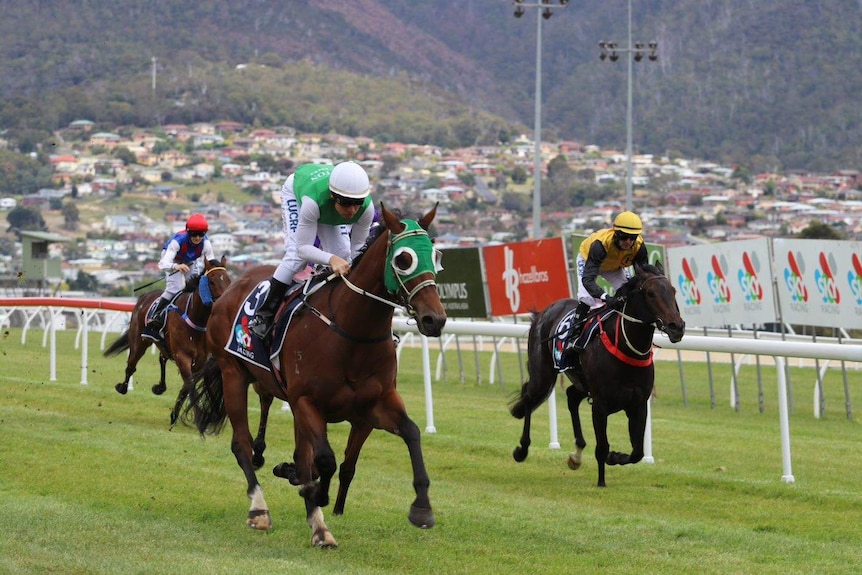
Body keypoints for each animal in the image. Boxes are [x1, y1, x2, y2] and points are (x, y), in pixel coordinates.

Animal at [104, 254, 233, 426]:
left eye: (228, 280)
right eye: (211, 281)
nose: (225, 304)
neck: (195, 318)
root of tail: (144, 296)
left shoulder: (200, 360)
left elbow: (186, 386)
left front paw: (175, 415)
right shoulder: (182, 356)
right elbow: (190, 385)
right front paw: (198, 416)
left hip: (163, 344)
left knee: (162, 359)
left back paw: (160, 387)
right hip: (139, 341)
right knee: (131, 365)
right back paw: (123, 387)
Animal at [185, 205, 448, 548]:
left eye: (436, 255)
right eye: (404, 259)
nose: (435, 319)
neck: (352, 332)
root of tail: (232, 287)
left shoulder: (375, 405)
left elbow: (412, 433)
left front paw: (422, 507)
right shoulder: (305, 401)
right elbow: (325, 459)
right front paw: (316, 495)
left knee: (299, 454)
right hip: (233, 374)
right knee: (242, 444)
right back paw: (260, 509)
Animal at [510, 264, 684, 488]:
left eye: (673, 291)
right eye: (650, 293)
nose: (677, 327)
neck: (626, 347)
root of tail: (543, 312)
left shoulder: (638, 404)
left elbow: (637, 452)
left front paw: (615, 456)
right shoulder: (600, 404)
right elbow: (602, 446)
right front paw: (601, 481)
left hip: (581, 383)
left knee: (571, 396)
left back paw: (576, 455)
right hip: (543, 375)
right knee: (529, 396)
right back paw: (522, 450)